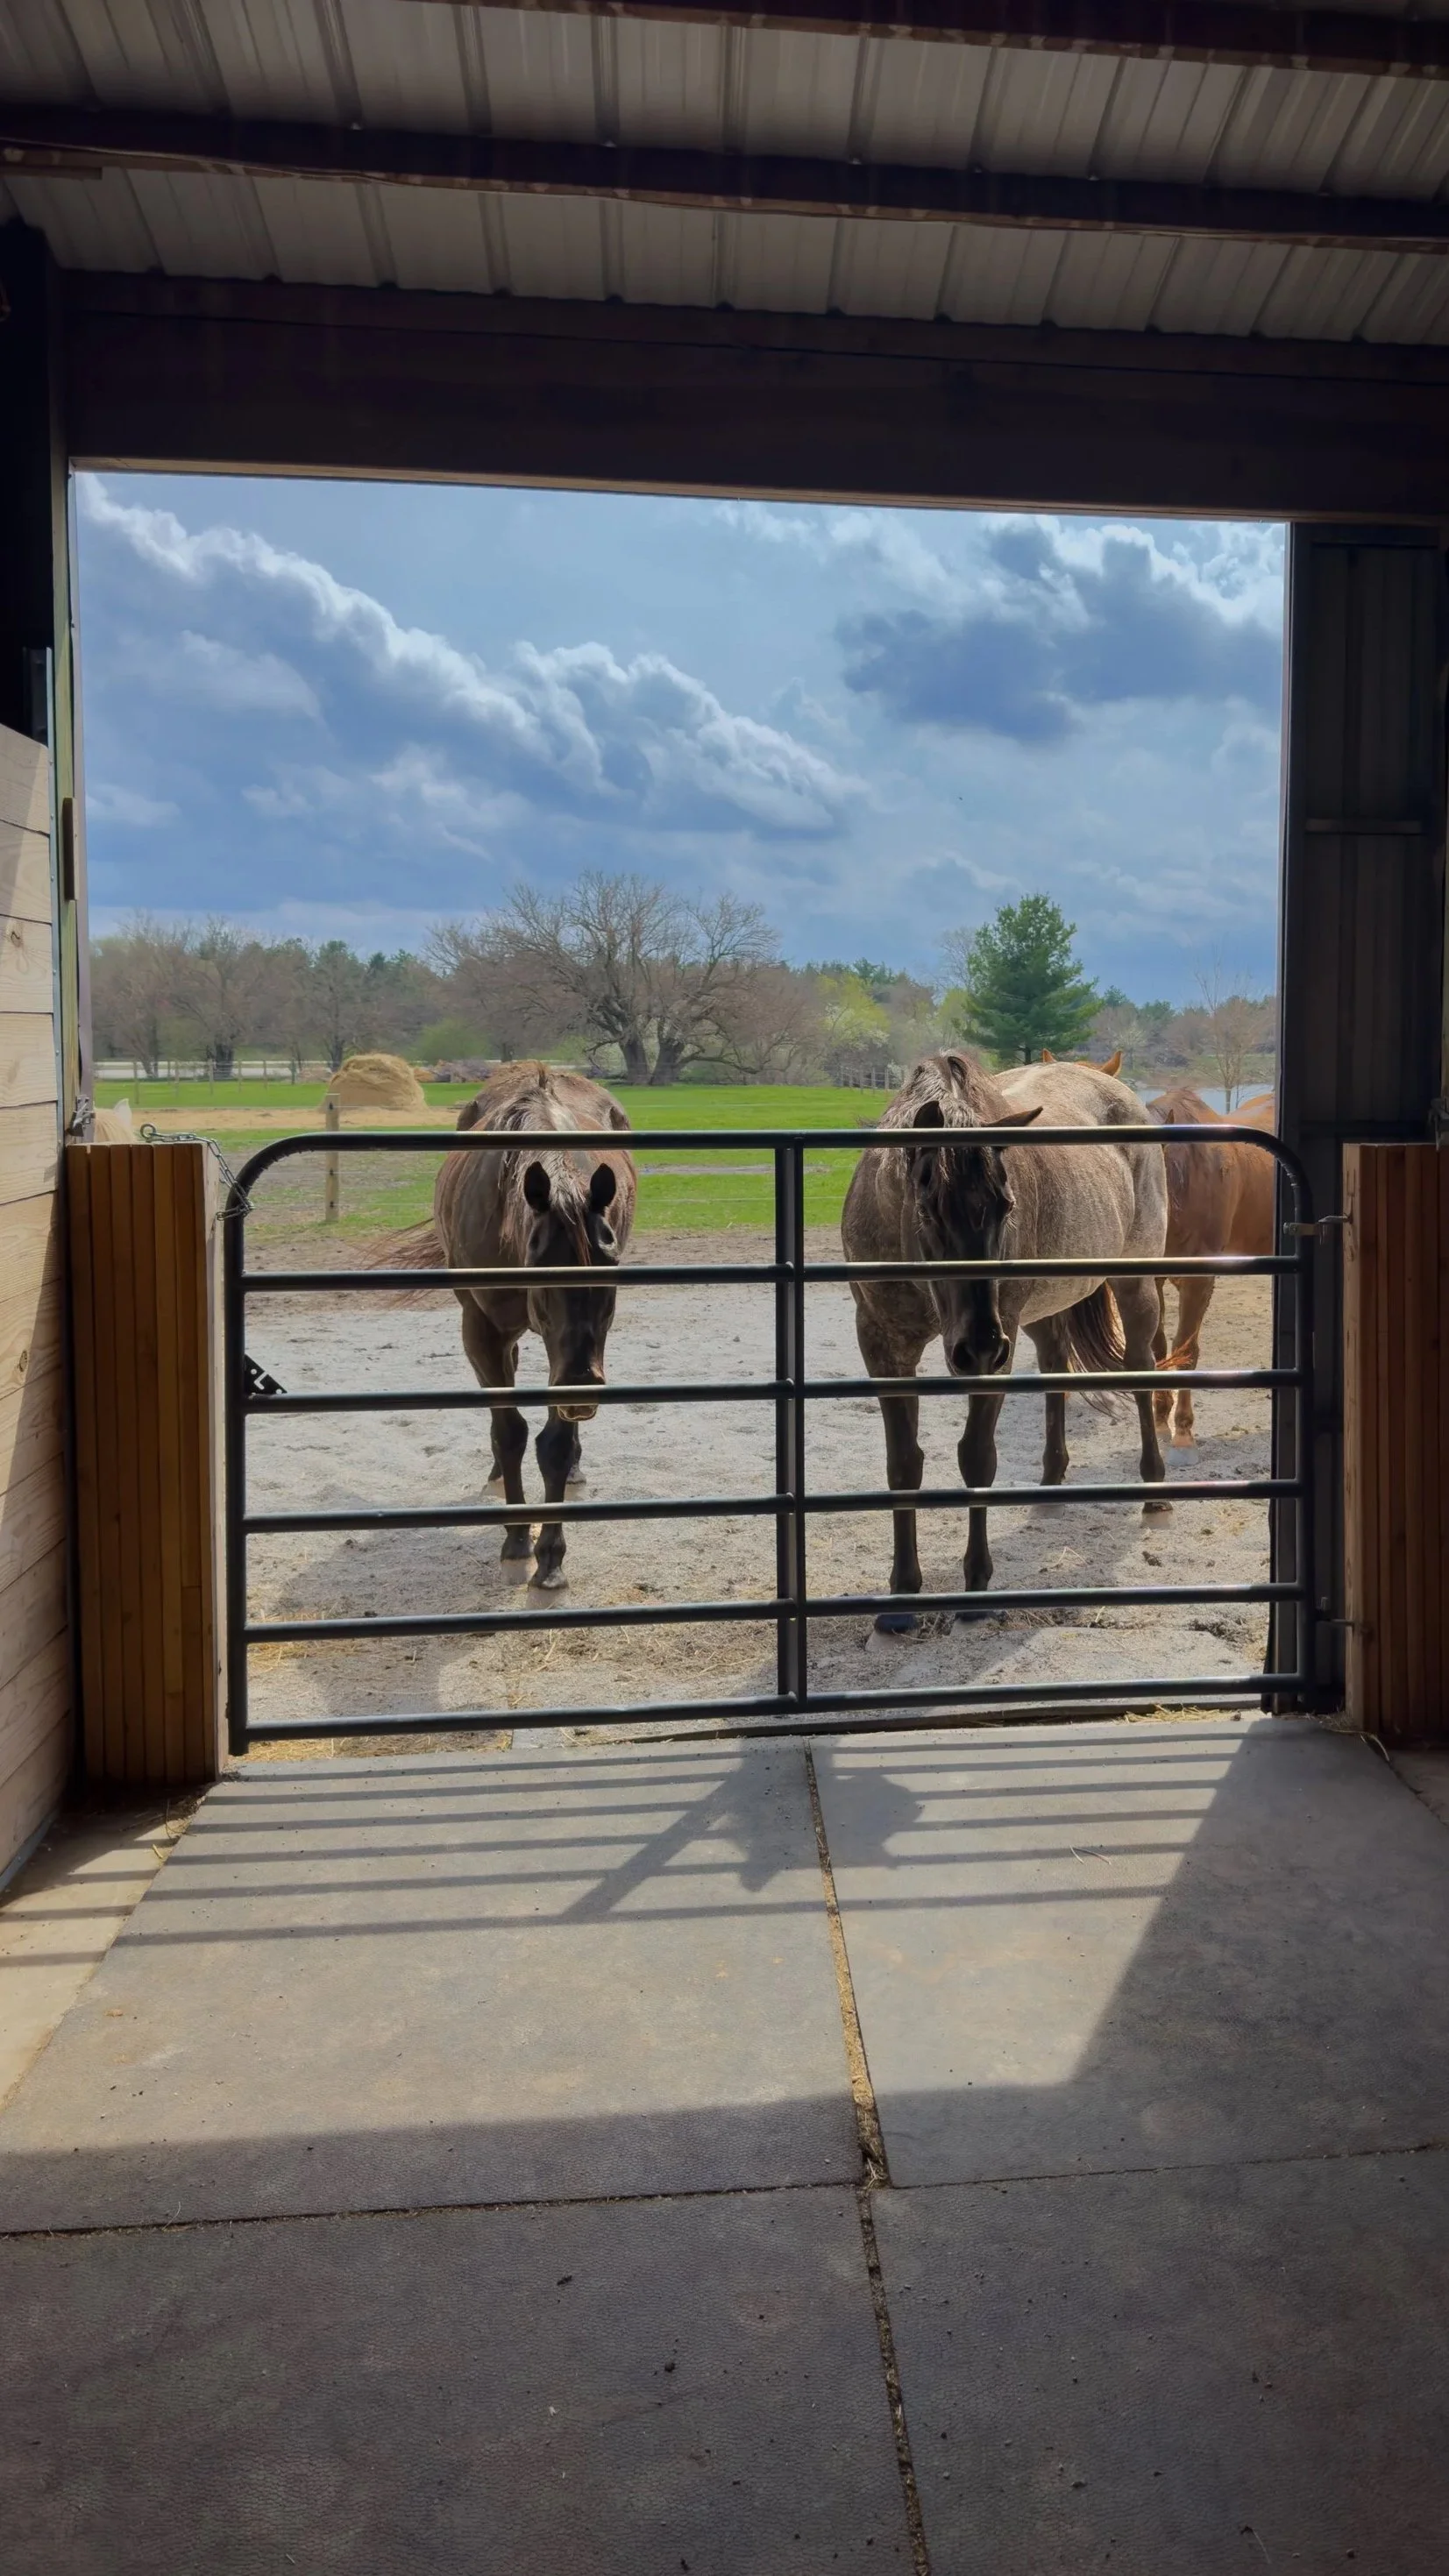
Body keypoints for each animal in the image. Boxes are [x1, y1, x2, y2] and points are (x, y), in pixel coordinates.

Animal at [402, 1062, 636, 1591]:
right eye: (539, 1268)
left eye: (611, 1263)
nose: (582, 1386)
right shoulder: (483, 1333)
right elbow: (509, 1432)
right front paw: (515, 1542)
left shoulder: (568, 1355)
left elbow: (554, 1444)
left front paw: (550, 1558)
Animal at [842, 1051, 1170, 1628]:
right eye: (927, 1210)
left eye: (1007, 1206)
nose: (978, 1346)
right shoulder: (884, 1346)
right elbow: (903, 1463)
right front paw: (901, 1599)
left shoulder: (1000, 1341)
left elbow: (977, 1458)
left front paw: (977, 1588)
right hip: (1039, 1314)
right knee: (1057, 1368)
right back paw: (1051, 1485)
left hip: (1133, 1285)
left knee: (1141, 1369)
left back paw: (1154, 1491)